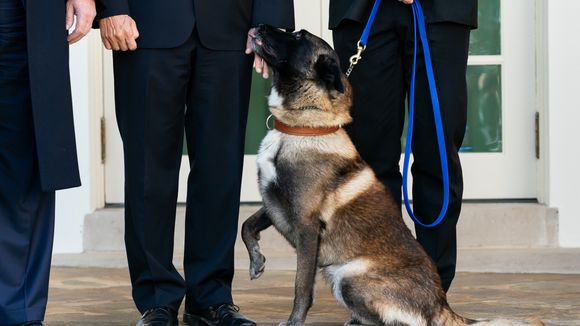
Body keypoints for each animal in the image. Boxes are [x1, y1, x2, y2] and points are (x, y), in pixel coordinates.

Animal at [241, 23, 544, 326]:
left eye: (298, 35)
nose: (259, 26)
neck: (303, 127)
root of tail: (441, 304)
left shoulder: (306, 225)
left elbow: (301, 286)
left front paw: (294, 320)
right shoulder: (275, 203)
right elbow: (247, 225)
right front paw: (256, 260)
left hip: (347, 276)